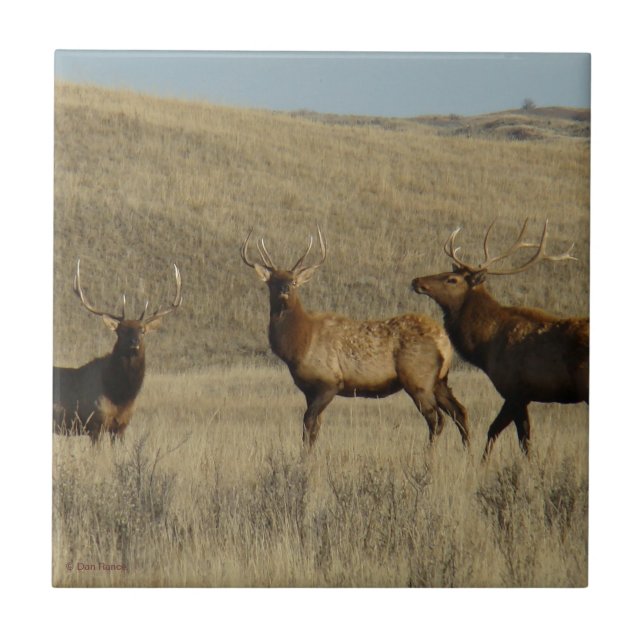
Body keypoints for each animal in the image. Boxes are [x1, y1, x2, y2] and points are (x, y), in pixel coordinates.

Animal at [53, 259, 182, 443]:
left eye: (142, 330)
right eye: (121, 330)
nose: (134, 341)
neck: (120, 396)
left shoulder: (122, 426)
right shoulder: (95, 423)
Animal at [241, 226, 470, 449]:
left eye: (294, 281)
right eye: (273, 281)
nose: (285, 289)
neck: (298, 346)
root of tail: (444, 341)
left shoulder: (329, 382)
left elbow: (308, 424)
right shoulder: (309, 389)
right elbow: (313, 431)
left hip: (417, 378)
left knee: (437, 419)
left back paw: (428, 456)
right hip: (439, 379)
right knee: (460, 412)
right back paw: (467, 451)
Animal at [411, 219, 588, 459]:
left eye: (452, 279)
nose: (416, 281)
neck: (486, 347)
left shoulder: (515, 390)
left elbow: (495, 430)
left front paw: (482, 463)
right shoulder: (523, 396)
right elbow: (525, 441)